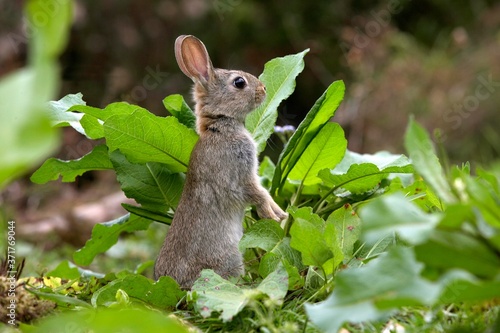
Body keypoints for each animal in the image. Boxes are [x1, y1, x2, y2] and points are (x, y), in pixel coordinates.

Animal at [156, 35, 290, 286]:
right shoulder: (240, 178)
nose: (264, 89)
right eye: (239, 83)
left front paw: (282, 214)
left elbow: (265, 194)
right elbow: (259, 195)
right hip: (229, 256)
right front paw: (276, 218)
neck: (218, 124)